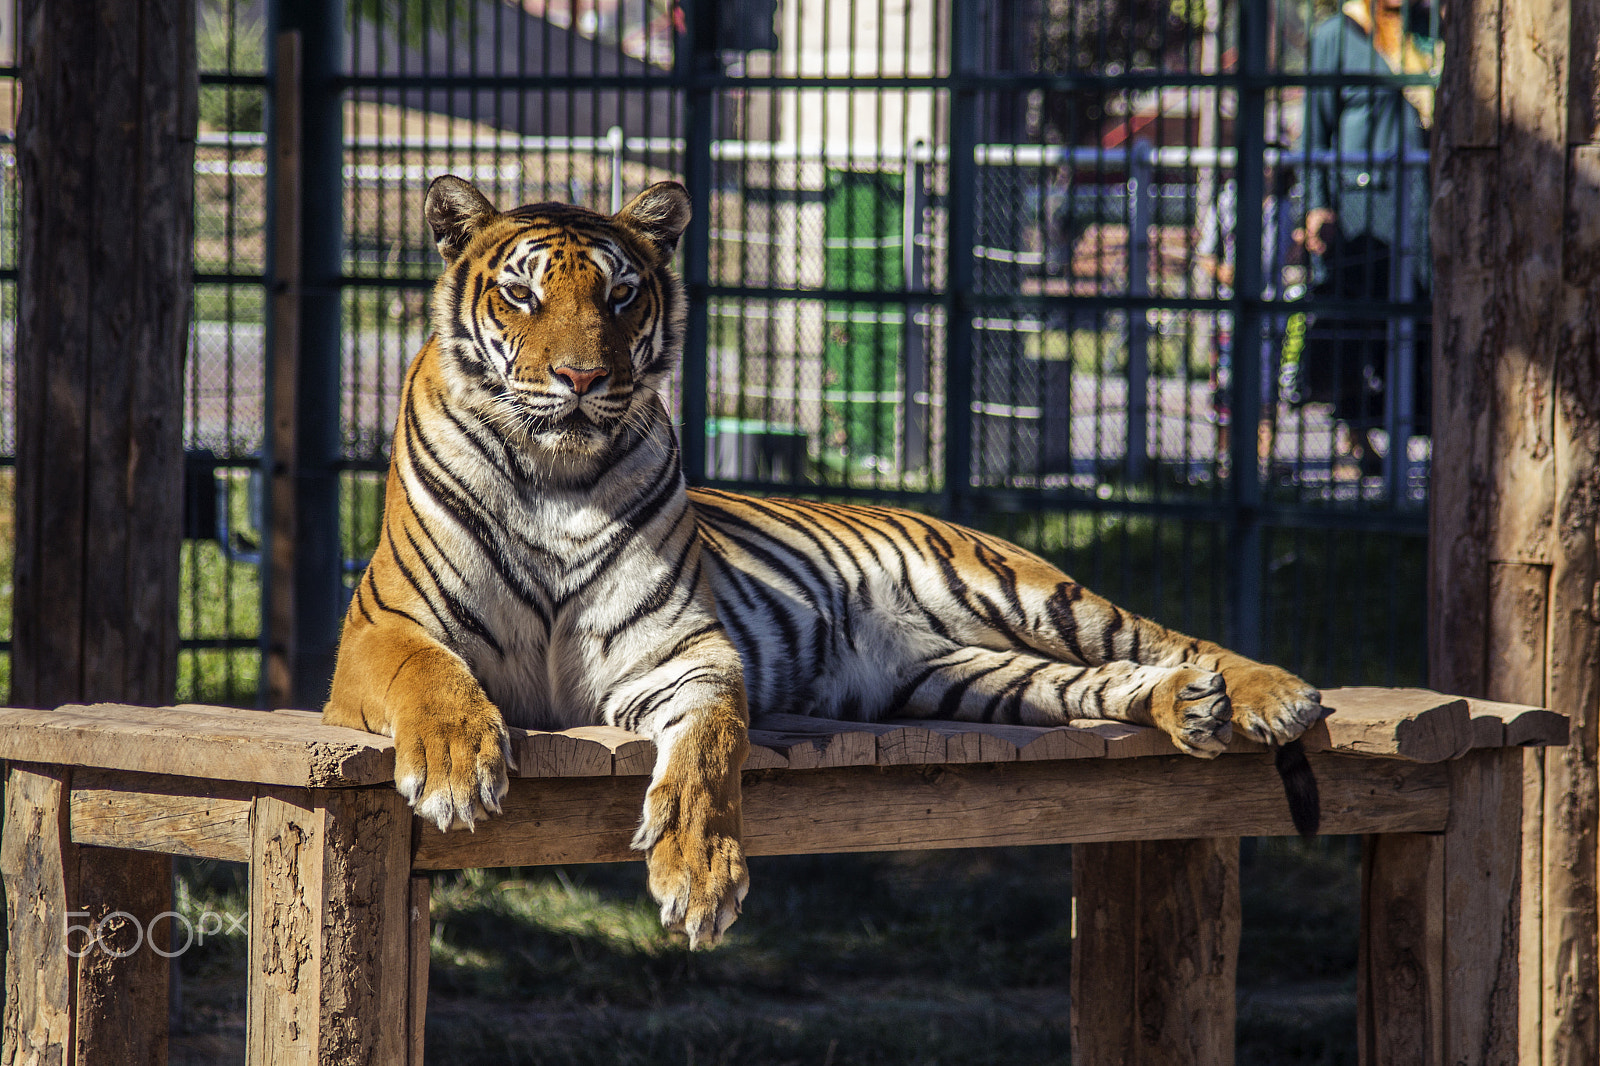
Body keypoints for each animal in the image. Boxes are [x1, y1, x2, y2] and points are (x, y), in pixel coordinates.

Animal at [323, 175, 1325, 950]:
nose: (581, 380)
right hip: (966, 680)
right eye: (522, 296)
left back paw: (1268, 694)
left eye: (620, 296)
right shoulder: (381, 628)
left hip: (1026, 591)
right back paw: (1188, 706)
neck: (556, 475)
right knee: (1098, 681)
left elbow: (711, 748)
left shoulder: (680, 654)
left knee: (1157, 636)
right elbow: (431, 676)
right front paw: (457, 768)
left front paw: (701, 877)